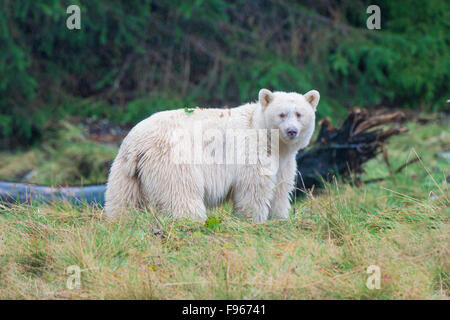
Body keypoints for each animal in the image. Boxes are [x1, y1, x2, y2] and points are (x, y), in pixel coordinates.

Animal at [104, 88, 320, 222]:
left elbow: (281, 187)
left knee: (122, 197)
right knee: (181, 190)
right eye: (282, 114)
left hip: (125, 169)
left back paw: (119, 221)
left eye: (299, 114)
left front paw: (279, 217)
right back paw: (191, 220)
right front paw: (253, 219)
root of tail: (135, 144)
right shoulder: (250, 150)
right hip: (172, 156)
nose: (291, 131)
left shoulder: (284, 161)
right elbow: (253, 188)